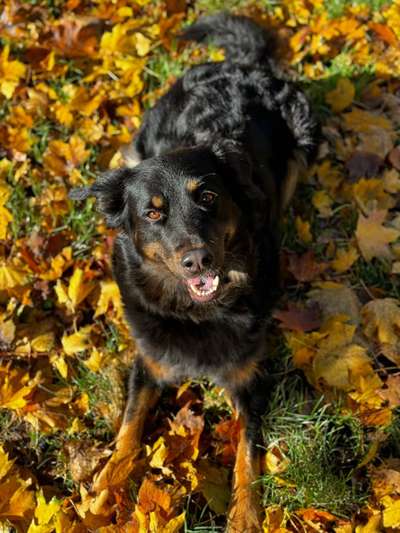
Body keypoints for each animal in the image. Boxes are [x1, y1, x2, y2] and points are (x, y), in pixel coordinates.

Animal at [70, 12, 318, 532]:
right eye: (153, 213)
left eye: (207, 197)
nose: (198, 261)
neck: (195, 312)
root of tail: (242, 66)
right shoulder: (148, 363)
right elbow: (128, 430)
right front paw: (103, 491)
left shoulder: (249, 379)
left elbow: (247, 453)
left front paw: (245, 515)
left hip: (306, 135)